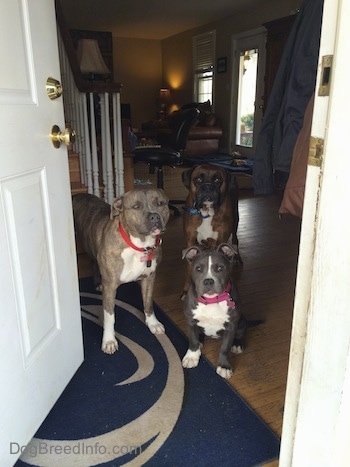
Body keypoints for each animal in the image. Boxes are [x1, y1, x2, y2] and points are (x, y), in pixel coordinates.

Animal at [72, 188, 170, 356]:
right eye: (136, 206)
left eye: (160, 203)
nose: (154, 216)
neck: (139, 246)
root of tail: (76, 195)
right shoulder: (110, 286)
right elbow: (109, 316)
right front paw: (109, 340)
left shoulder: (149, 278)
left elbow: (148, 303)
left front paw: (153, 323)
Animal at [182, 163, 242, 298]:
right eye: (198, 179)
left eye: (217, 180)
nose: (208, 187)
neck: (207, 212)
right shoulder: (190, 241)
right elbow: (188, 269)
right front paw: (186, 290)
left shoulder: (221, 240)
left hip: (236, 219)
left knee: (235, 239)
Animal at [182, 243, 245, 378]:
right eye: (198, 269)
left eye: (220, 268)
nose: (208, 281)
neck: (211, 301)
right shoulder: (190, 321)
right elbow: (193, 340)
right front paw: (192, 357)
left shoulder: (231, 326)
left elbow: (225, 348)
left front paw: (224, 366)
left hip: (242, 322)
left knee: (240, 334)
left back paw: (237, 344)